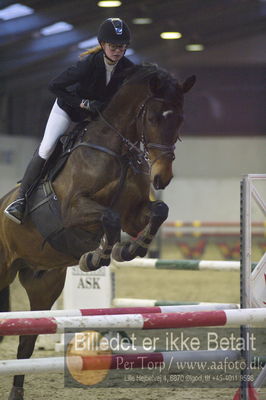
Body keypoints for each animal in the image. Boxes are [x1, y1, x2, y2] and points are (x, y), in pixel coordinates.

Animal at [0, 64, 195, 398]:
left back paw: (16, 391)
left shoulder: (134, 214)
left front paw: (128, 249)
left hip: (43, 283)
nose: (162, 177)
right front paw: (98, 255)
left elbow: (158, 211)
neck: (116, 150)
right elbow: (110, 218)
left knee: (27, 340)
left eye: (180, 119)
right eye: (154, 118)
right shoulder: (72, 211)